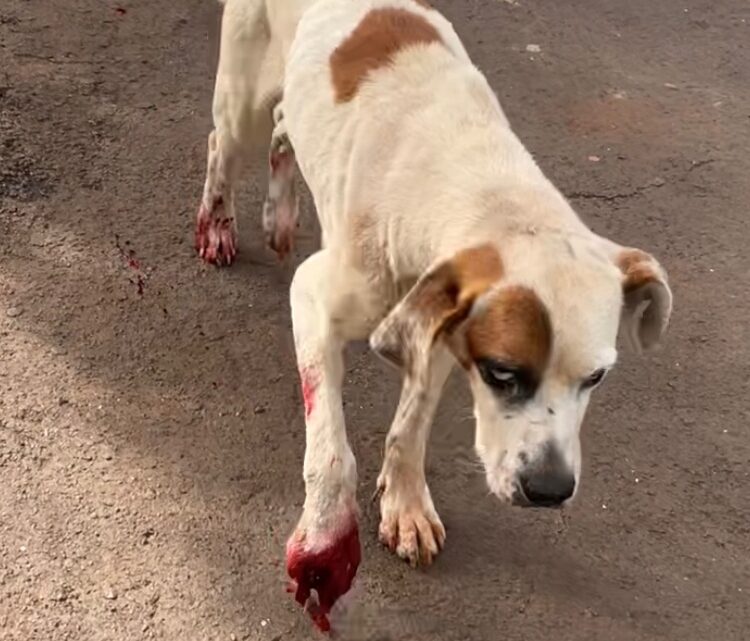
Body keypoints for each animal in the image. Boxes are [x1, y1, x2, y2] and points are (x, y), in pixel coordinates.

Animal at [195, 0, 676, 632]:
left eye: (596, 378)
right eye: (503, 373)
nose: (549, 490)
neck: (483, 187)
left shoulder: (442, 334)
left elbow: (413, 423)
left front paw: (405, 504)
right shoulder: (316, 300)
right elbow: (331, 449)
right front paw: (325, 535)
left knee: (282, 127)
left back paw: (280, 210)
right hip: (241, 97)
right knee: (223, 143)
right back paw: (218, 222)